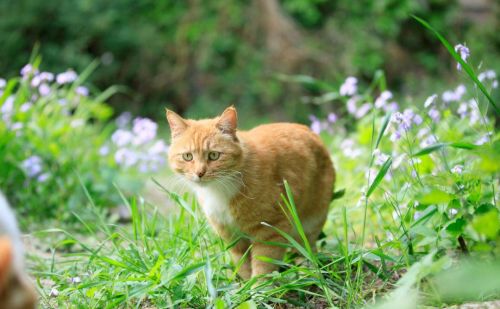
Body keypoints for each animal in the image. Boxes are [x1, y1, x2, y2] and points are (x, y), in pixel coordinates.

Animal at [166, 106, 334, 280]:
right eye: (187, 156)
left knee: (305, 249)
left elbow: (263, 263)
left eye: (214, 155)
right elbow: (242, 263)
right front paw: (245, 284)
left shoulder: (271, 228)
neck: (219, 190)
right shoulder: (231, 235)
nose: (199, 173)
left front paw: (258, 286)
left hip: (310, 222)